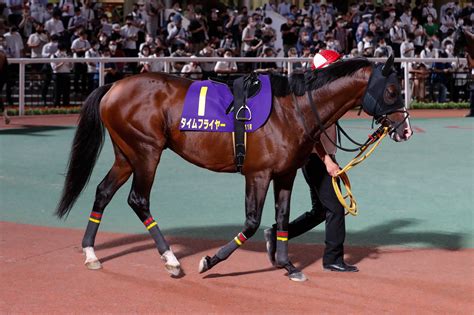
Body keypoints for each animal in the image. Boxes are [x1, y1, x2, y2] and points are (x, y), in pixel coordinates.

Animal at [55, 56, 412, 282]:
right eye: (392, 90)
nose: (406, 129)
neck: (292, 109)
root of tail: (114, 87)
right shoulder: (258, 173)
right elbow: (252, 223)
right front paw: (209, 261)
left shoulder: (285, 174)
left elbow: (282, 218)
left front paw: (287, 265)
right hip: (146, 152)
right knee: (138, 200)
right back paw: (171, 260)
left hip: (126, 155)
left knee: (103, 192)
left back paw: (91, 253)